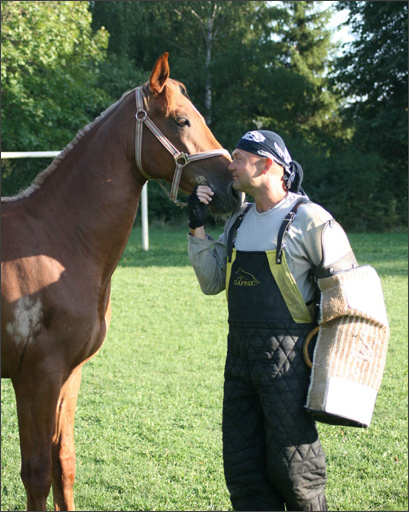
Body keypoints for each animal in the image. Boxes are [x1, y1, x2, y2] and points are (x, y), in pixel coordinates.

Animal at [0, 54, 241, 510]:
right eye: (181, 120)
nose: (233, 188)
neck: (59, 240)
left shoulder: (69, 374)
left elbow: (63, 464)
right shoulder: (36, 376)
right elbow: (36, 473)